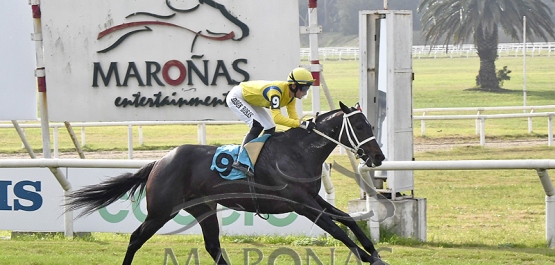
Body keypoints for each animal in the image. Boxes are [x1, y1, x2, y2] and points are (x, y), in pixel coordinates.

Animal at [66, 101, 386, 264]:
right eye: (360, 126)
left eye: (369, 124)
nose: (378, 156)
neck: (296, 152)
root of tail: (159, 162)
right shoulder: (301, 203)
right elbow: (337, 230)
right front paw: (368, 257)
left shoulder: (312, 198)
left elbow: (347, 219)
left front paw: (373, 252)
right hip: (161, 211)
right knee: (135, 239)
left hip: (203, 209)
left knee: (213, 246)